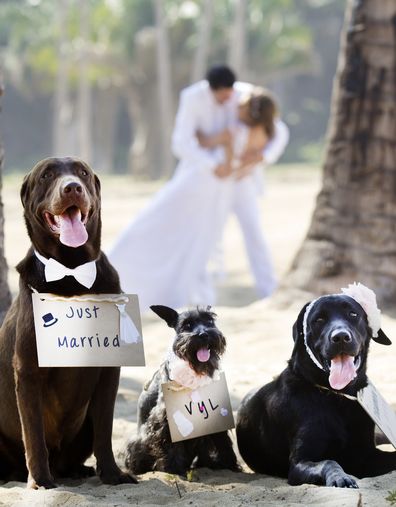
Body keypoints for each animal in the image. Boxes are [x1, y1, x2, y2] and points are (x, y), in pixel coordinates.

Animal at [0, 158, 137, 488]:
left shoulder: (109, 369)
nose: (72, 187)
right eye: (47, 175)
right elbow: (33, 434)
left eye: (83, 172)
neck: (71, 272)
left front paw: (111, 474)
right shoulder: (28, 370)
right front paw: (40, 481)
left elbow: (105, 429)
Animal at [125, 306, 240, 476]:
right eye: (187, 325)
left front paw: (229, 464)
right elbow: (170, 443)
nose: (204, 334)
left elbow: (222, 440)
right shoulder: (165, 418)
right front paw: (173, 469)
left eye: (210, 320)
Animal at [237, 294, 394, 488]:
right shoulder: (300, 463)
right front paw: (340, 477)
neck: (337, 396)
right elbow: (329, 462)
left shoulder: (366, 455)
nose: (340, 337)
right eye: (319, 320)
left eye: (353, 314)